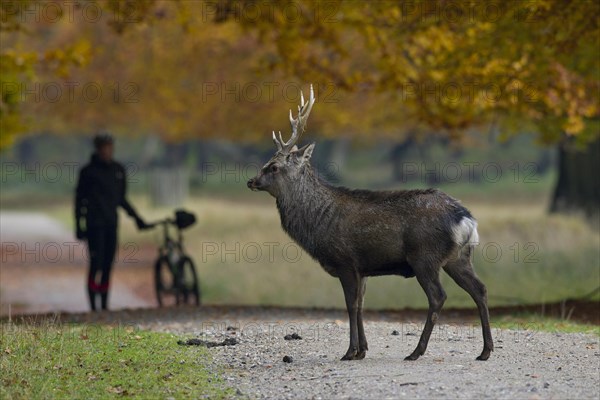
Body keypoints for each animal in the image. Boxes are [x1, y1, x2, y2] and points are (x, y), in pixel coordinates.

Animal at [246, 85, 494, 362]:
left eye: (273, 166)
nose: (251, 181)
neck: (319, 221)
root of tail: (466, 219)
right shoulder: (362, 268)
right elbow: (362, 304)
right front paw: (362, 350)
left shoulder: (345, 261)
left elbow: (351, 305)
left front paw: (349, 351)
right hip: (458, 257)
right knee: (480, 289)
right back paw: (485, 351)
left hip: (424, 256)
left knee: (438, 296)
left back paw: (416, 351)